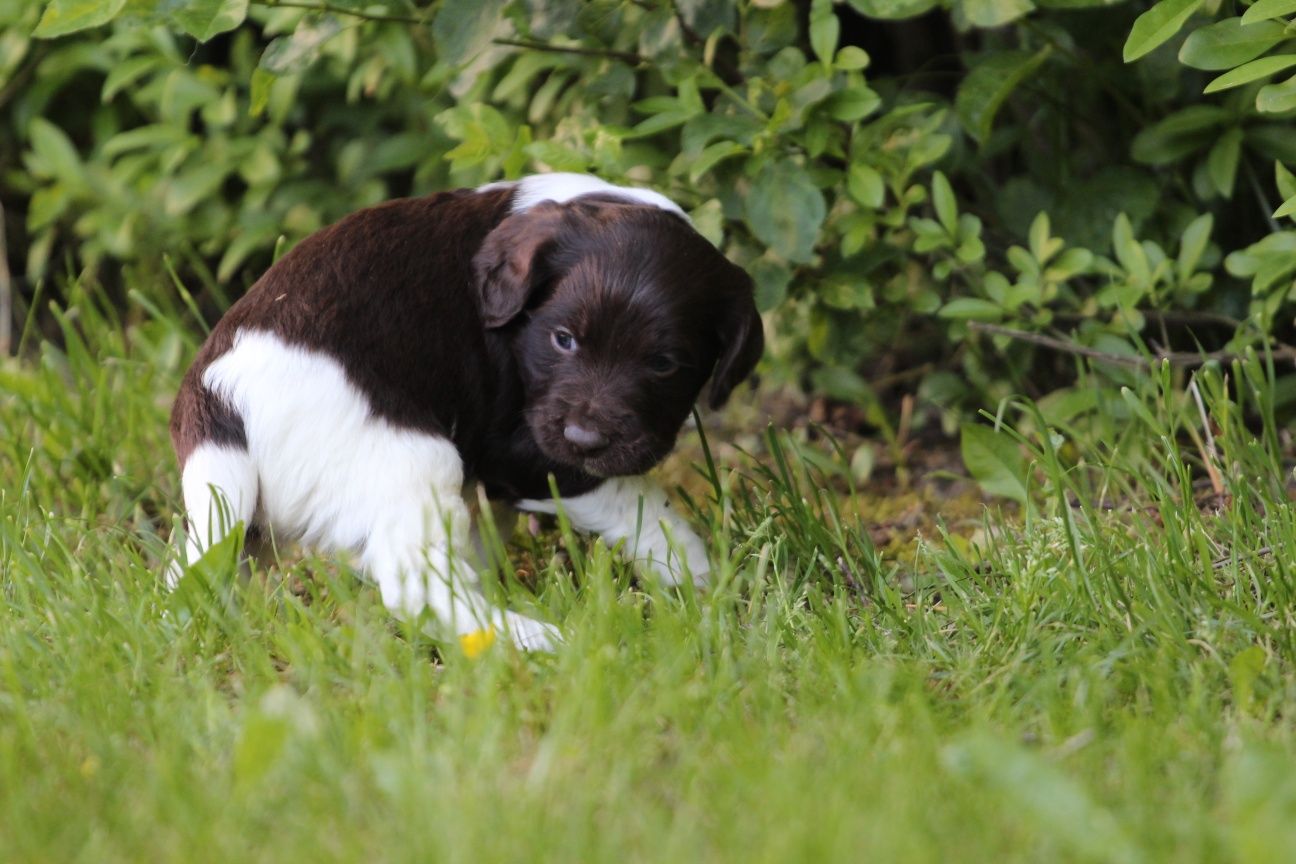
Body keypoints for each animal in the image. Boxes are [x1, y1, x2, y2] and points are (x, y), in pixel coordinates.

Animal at [168, 173, 762, 647]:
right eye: (564, 339)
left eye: (664, 364)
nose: (586, 439)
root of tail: (219, 400)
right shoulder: (525, 451)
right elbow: (643, 509)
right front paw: (709, 582)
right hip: (413, 459)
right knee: (419, 587)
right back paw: (531, 638)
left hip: (235, 518)